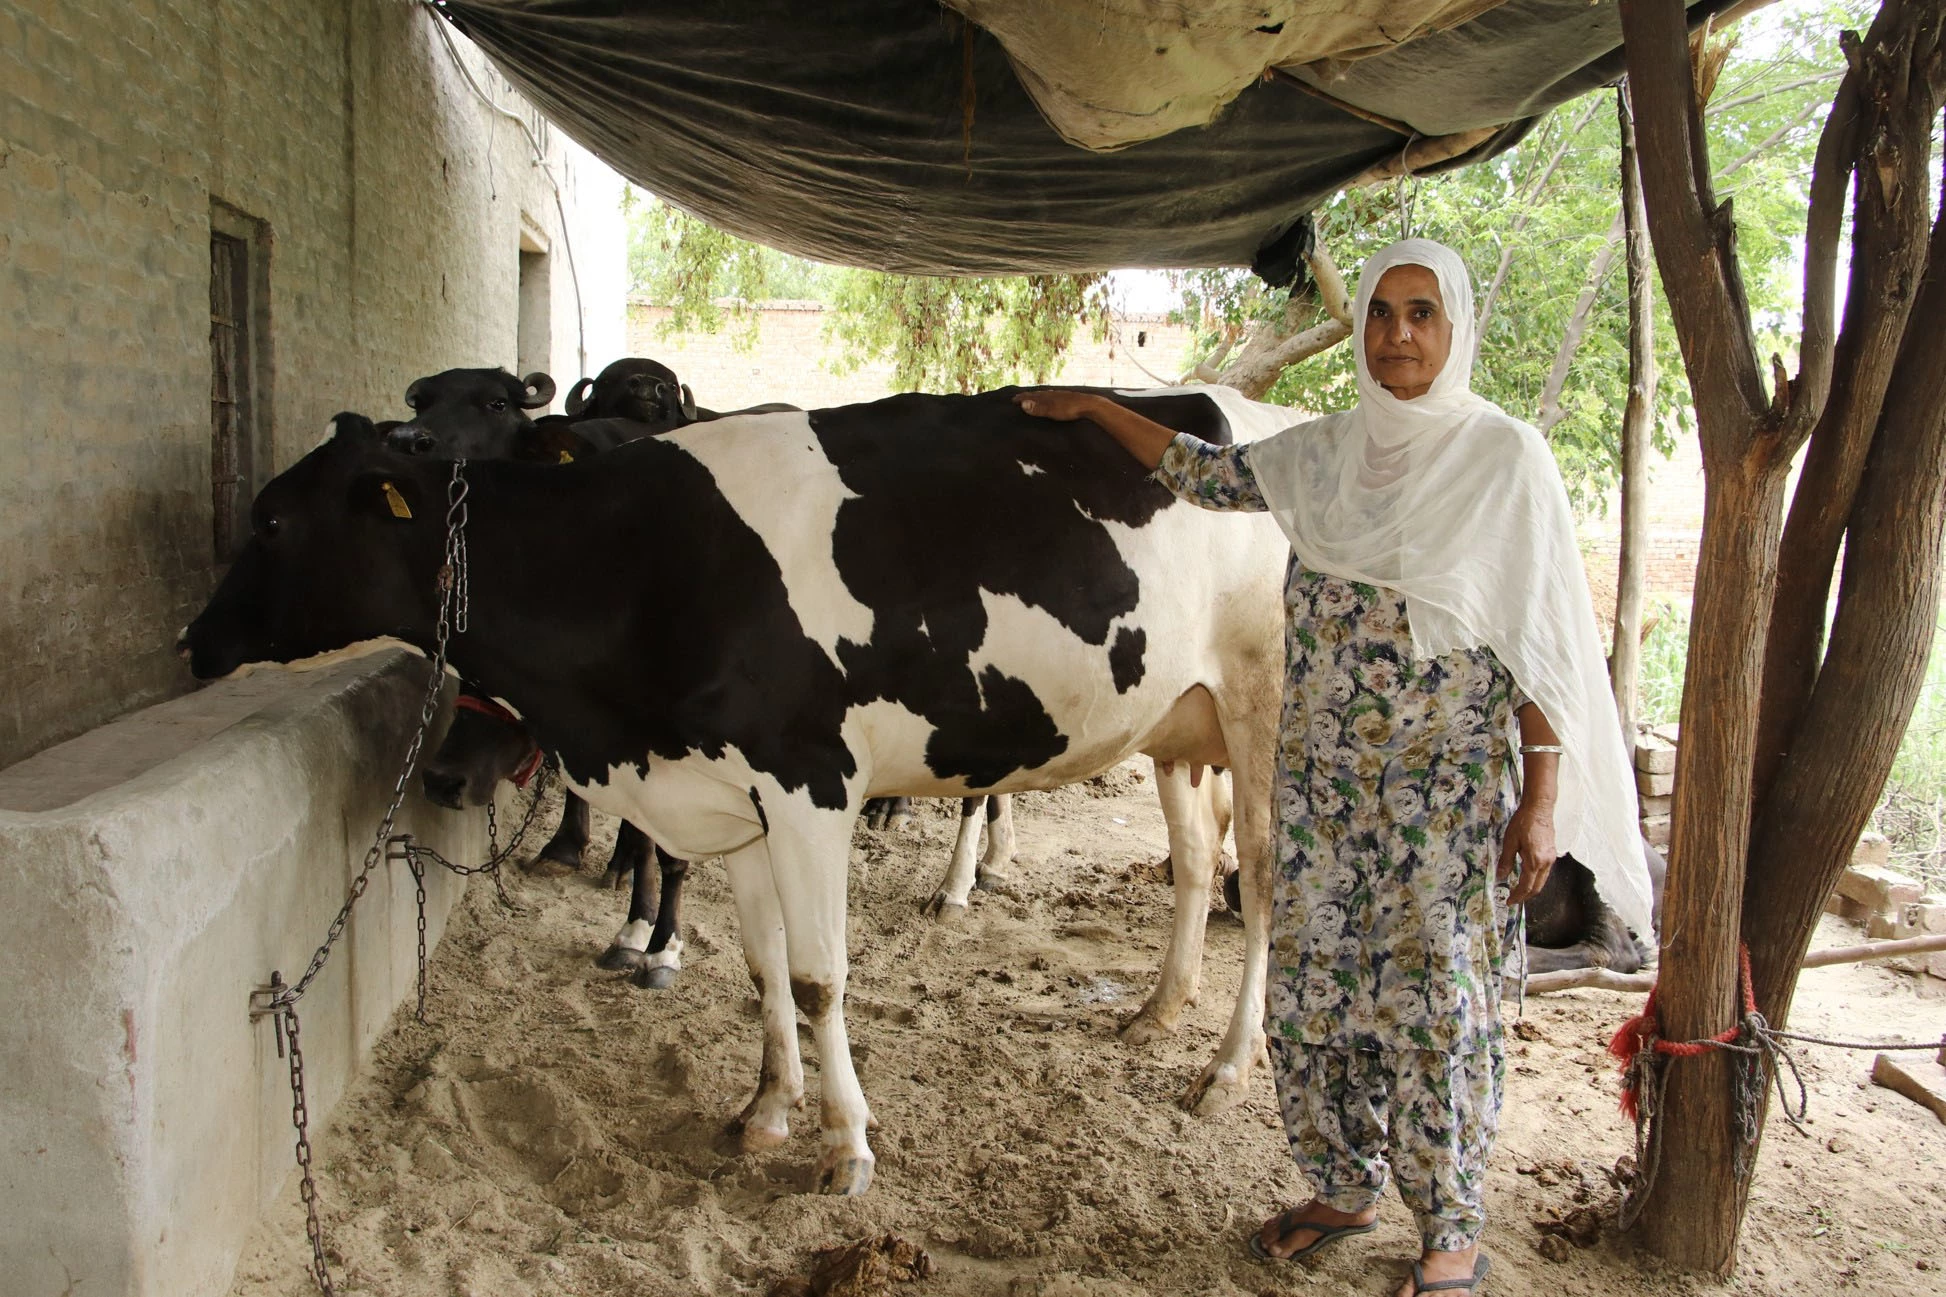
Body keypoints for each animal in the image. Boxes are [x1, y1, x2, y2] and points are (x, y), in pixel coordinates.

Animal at [185, 383, 1292, 1191]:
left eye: (271, 519)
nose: (194, 640)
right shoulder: (734, 794)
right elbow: (763, 969)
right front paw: (766, 1109)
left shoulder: (809, 781)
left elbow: (818, 975)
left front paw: (847, 1144)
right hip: (1181, 727)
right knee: (1197, 862)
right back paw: (1157, 1010)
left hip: (1268, 706)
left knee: (1267, 881)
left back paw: (1227, 1066)